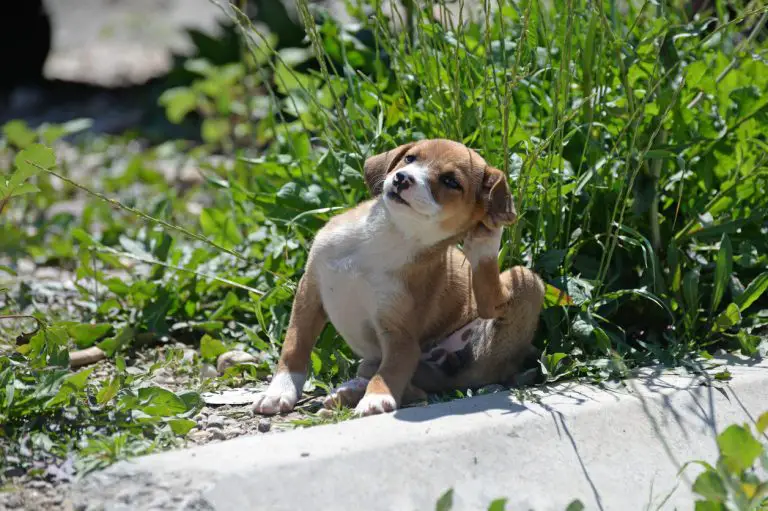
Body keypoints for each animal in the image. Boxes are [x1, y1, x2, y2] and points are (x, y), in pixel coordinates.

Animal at [252, 139, 544, 416]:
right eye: (410, 158)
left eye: (451, 181)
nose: (402, 178)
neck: (390, 234)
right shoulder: (309, 293)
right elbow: (295, 347)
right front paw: (279, 392)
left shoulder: (398, 333)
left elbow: (391, 370)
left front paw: (376, 398)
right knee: (411, 384)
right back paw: (348, 391)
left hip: (523, 279)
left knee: (486, 305)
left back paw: (485, 243)